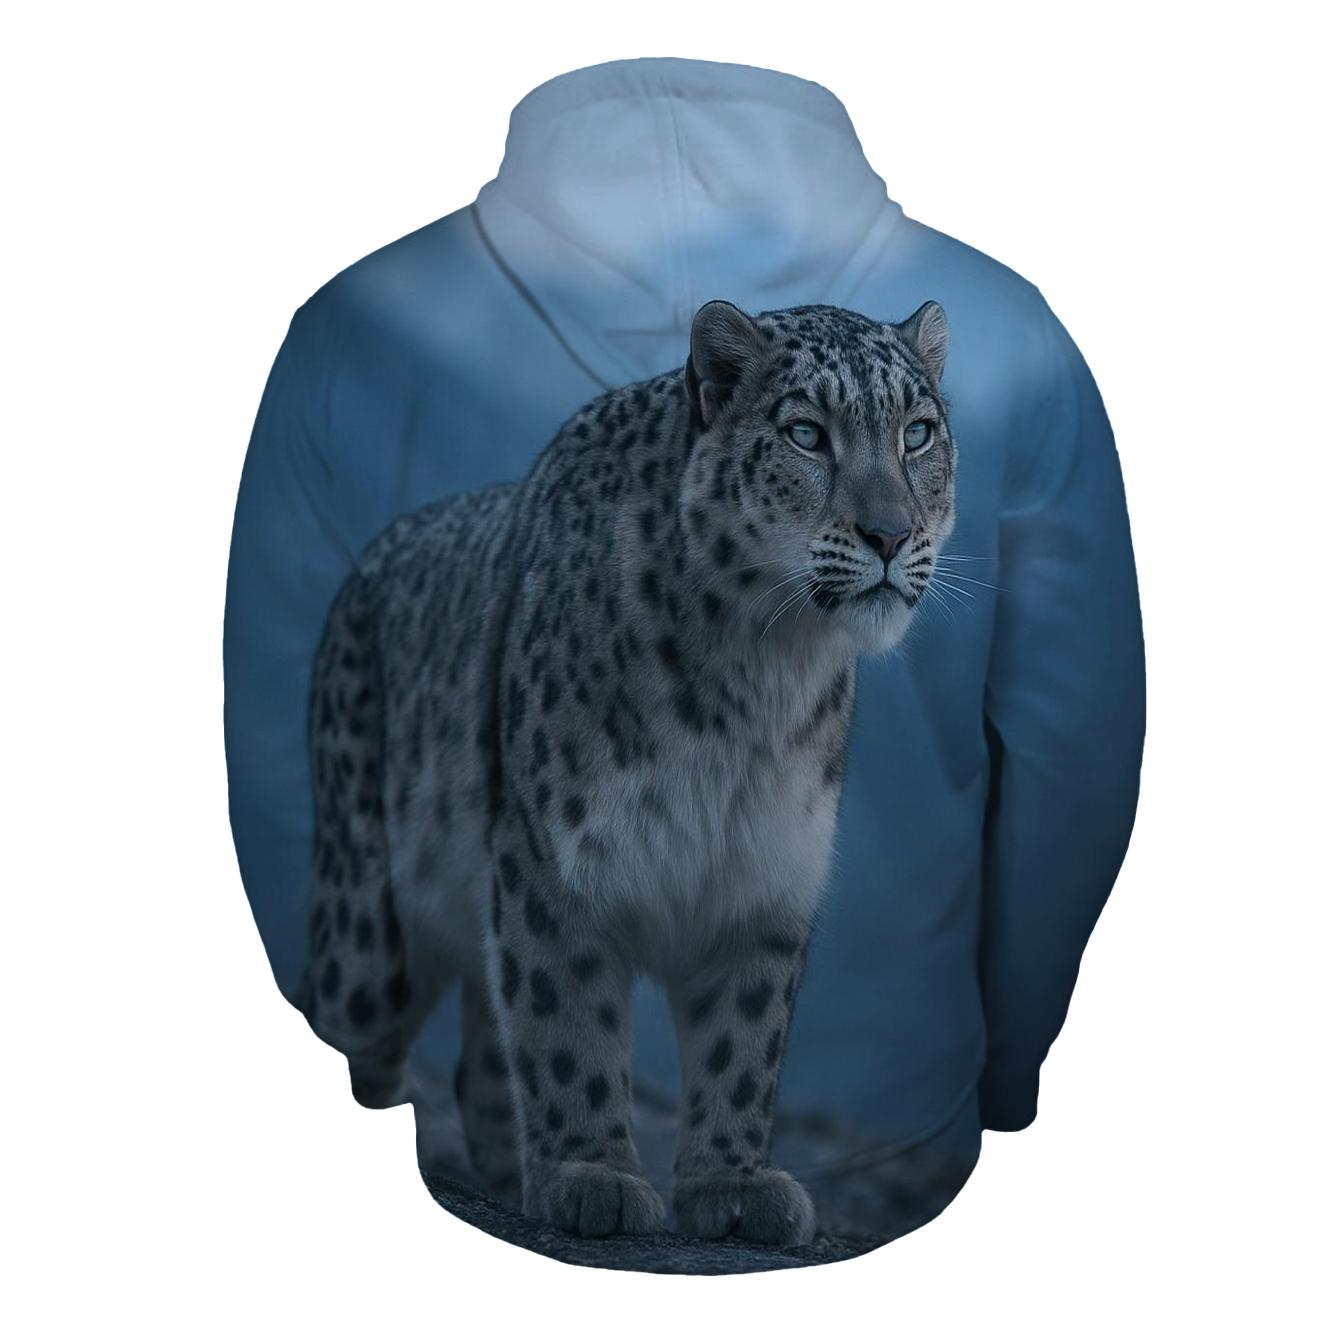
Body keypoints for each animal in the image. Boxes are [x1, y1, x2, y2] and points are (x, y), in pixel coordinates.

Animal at [298, 298, 956, 1245]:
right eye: (806, 433)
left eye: (916, 432)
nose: (890, 534)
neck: (760, 678)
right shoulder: (554, 858)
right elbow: (564, 1018)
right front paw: (595, 1175)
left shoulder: (766, 874)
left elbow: (741, 1043)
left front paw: (732, 1184)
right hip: (366, 926)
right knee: (349, 1027)